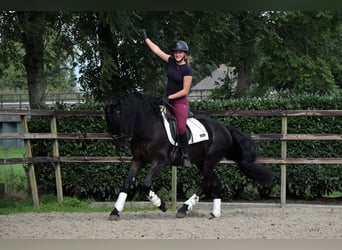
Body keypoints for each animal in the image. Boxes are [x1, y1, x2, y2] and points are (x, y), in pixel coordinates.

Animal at [104, 93, 272, 220]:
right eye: (108, 120)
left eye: (120, 116)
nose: (120, 146)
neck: (148, 128)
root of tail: (223, 127)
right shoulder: (138, 160)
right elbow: (126, 184)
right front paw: (115, 212)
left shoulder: (159, 161)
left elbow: (145, 185)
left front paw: (162, 205)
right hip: (201, 162)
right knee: (215, 183)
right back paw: (214, 213)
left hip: (209, 161)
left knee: (205, 183)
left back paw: (184, 209)